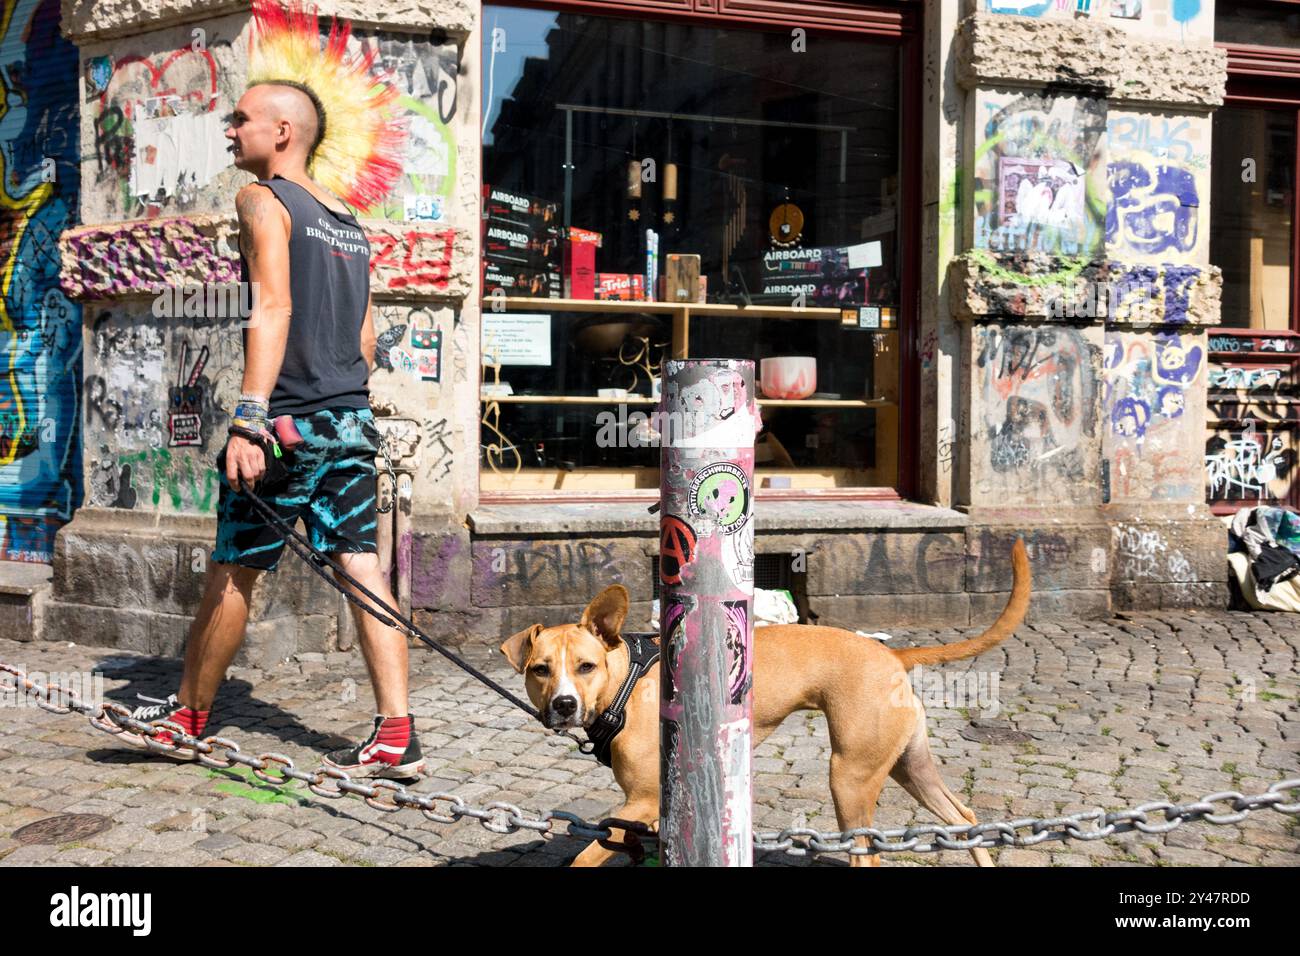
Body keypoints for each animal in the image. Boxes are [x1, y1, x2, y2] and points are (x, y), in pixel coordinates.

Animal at [501, 538, 1029, 868]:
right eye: (540, 670)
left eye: (585, 666)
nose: (564, 705)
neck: (625, 683)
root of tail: (891, 653)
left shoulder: (642, 802)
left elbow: (585, 855)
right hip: (908, 764)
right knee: (965, 819)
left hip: (850, 776)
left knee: (869, 851)